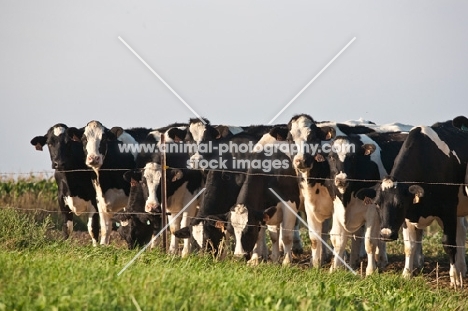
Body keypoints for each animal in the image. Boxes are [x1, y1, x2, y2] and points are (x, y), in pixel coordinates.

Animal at [360, 119, 468, 288]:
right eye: (377, 204)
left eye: (400, 204)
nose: (385, 234)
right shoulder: (408, 217)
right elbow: (409, 246)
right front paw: (406, 274)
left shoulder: (448, 211)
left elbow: (449, 244)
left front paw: (455, 278)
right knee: (461, 233)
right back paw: (462, 268)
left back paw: (460, 270)